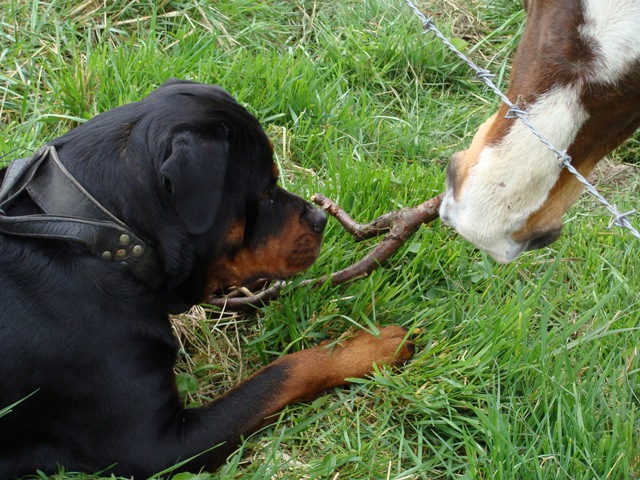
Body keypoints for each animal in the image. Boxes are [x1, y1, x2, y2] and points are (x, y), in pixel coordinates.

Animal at [0, 79, 416, 476]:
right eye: (264, 191)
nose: (320, 218)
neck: (99, 230)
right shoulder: (157, 448)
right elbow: (283, 372)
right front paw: (373, 346)